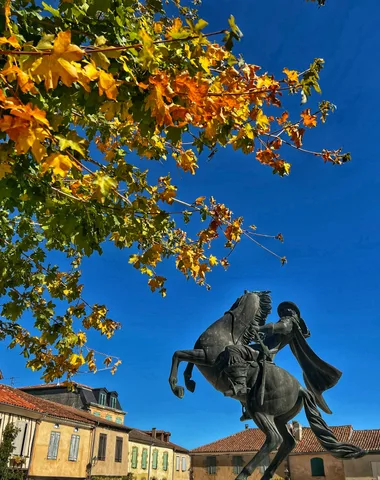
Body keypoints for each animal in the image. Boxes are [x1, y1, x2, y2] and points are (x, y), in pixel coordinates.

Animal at [169, 288, 366, 480]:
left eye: (237, 300)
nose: (229, 309)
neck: (227, 332)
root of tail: (301, 389)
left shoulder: (207, 357)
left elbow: (177, 354)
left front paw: (176, 386)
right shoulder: (201, 356)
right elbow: (182, 357)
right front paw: (187, 383)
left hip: (261, 411)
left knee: (274, 439)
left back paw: (245, 473)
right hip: (278, 418)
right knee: (288, 442)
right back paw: (267, 474)